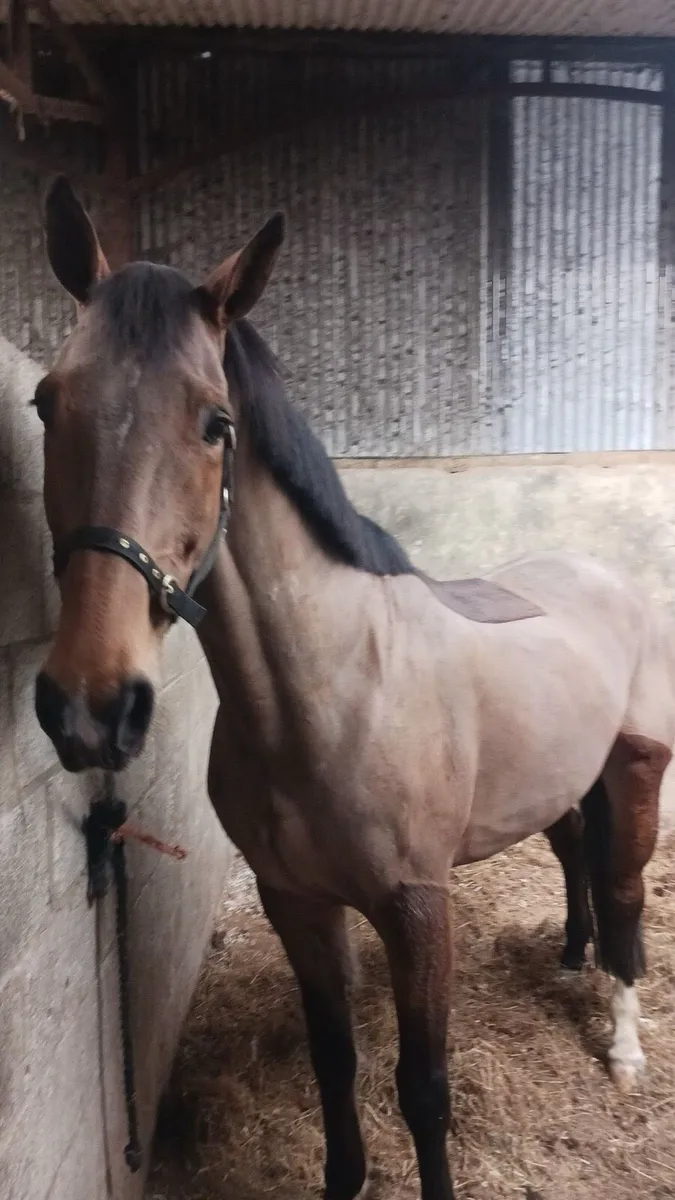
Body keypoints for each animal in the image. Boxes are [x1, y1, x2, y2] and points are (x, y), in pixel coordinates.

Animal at [34, 176, 675, 1200]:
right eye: (47, 403)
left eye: (214, 423)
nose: (93, 706)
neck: (330, 694)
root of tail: (605, 578)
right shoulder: (295, 899)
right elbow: (333, 1059)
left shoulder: (416, 909)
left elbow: (424, 1088)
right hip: (559, 778)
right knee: (574, 848)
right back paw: (570, 958)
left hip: (634, 769)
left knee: (621, 891)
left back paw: (621, 1044)